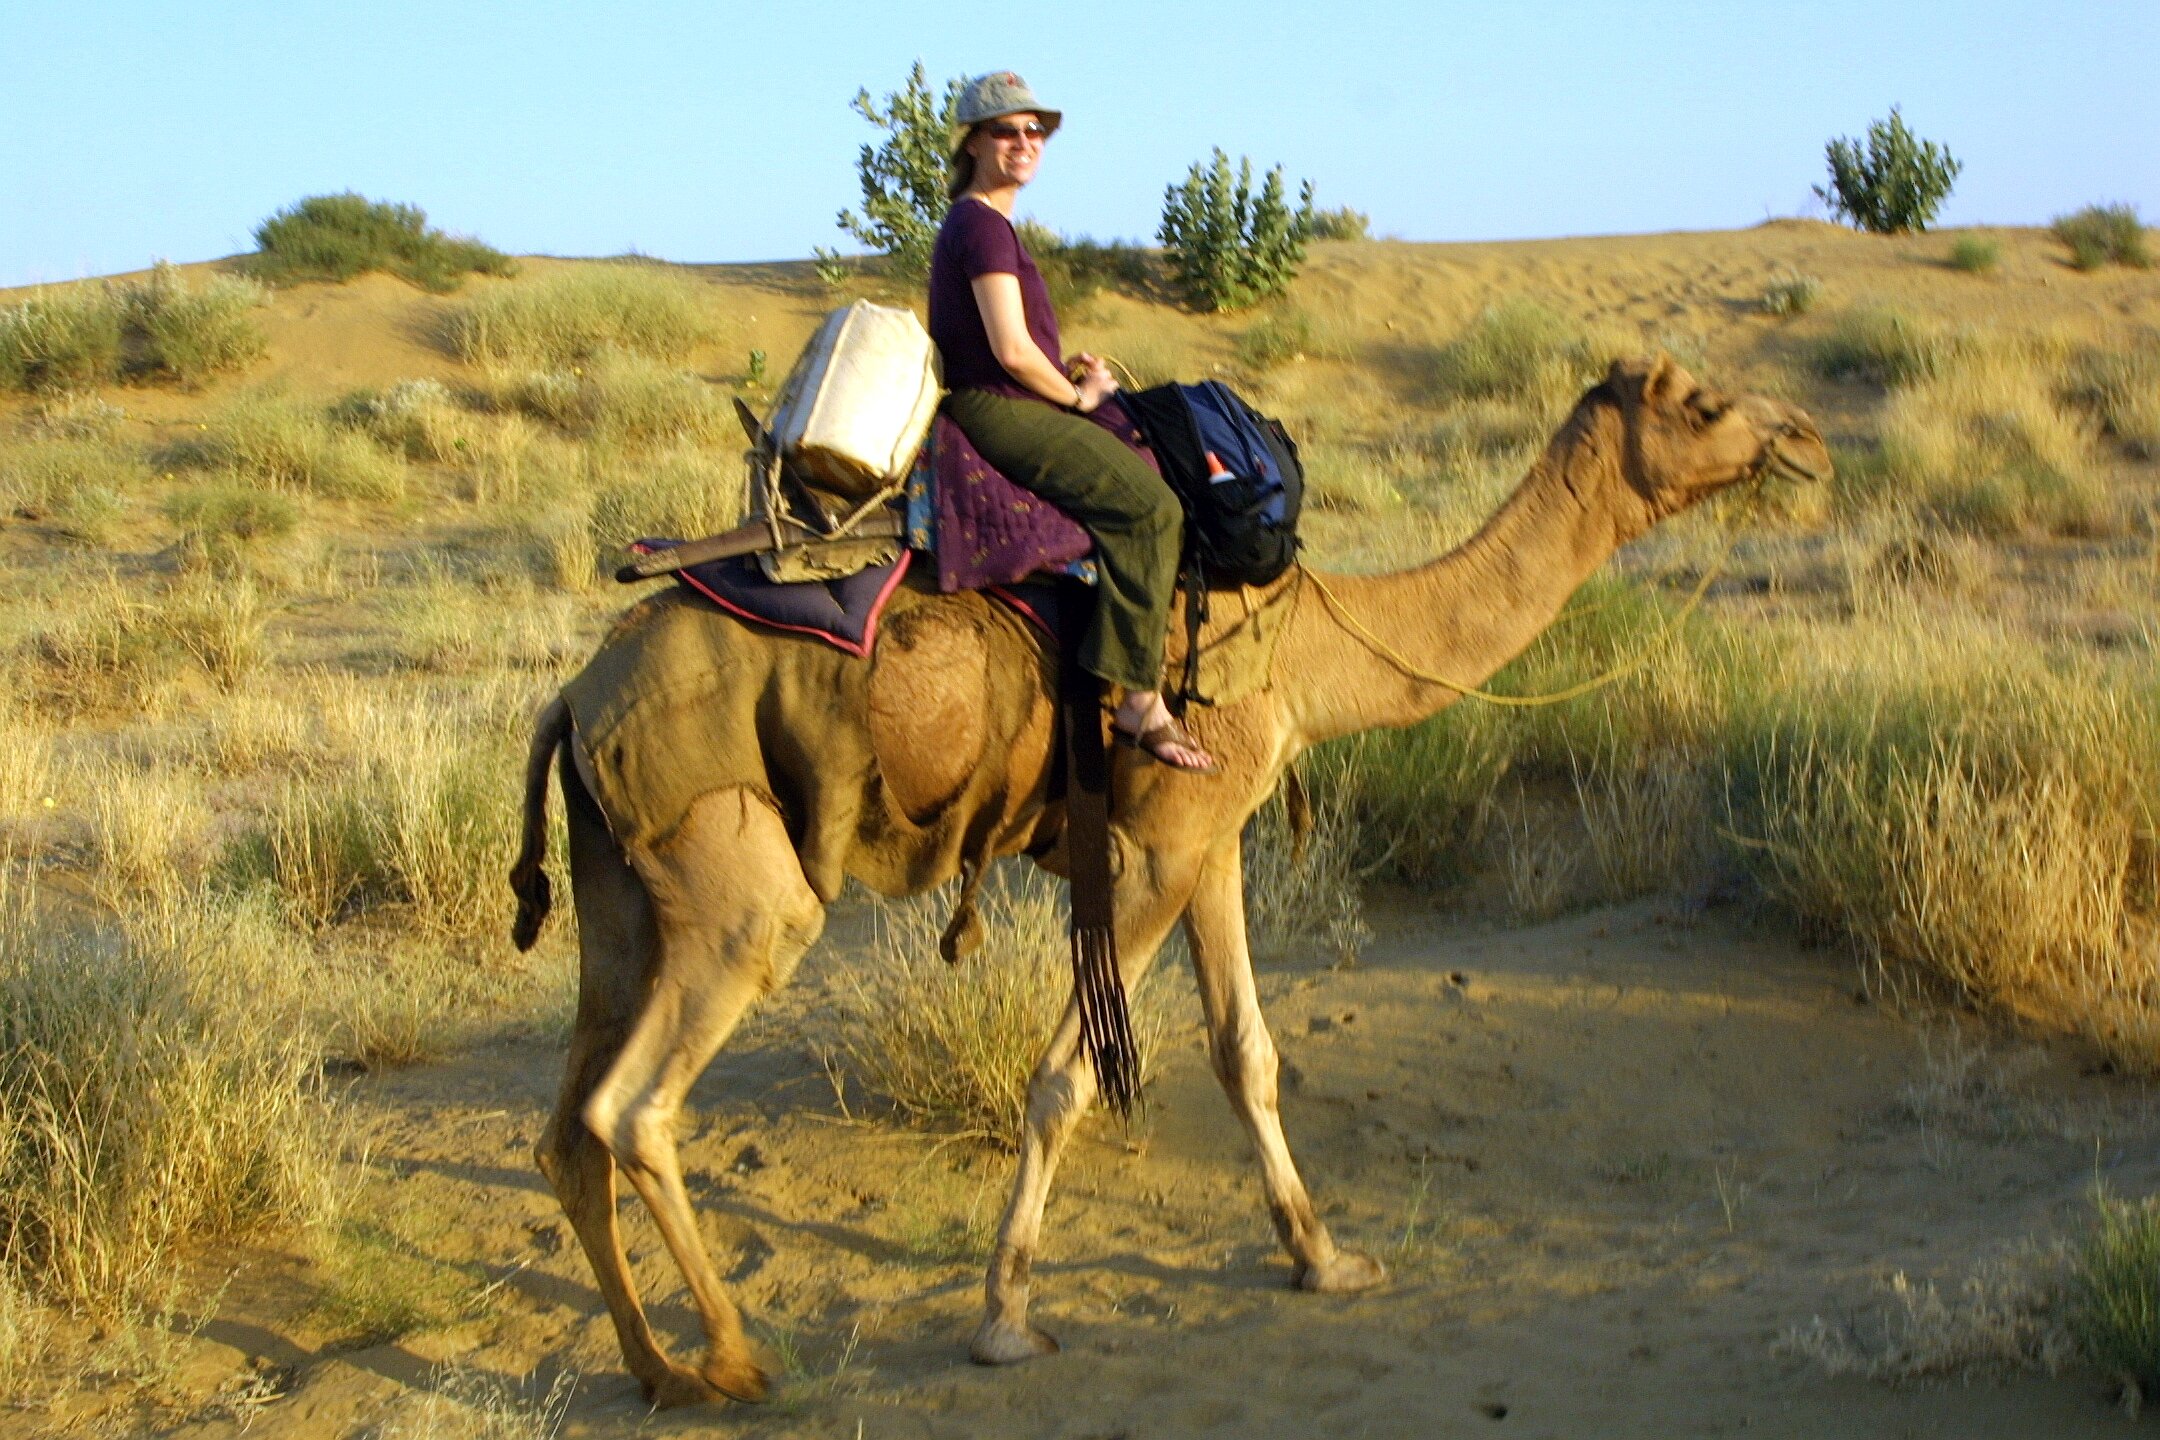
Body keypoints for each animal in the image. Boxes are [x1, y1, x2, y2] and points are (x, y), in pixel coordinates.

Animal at [514, 351, 1831, 1407]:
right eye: (1705, 403)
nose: (1806, 437)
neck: (1312, 648)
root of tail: (576, 694)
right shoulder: (1156, 843)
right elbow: (1065, 1080)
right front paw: (1004, 1321)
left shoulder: (1215, 837)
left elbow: (1248, 1050)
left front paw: (1326, 1259)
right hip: (738, 877)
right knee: (636, 1104)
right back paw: (738, 1361)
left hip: (620, 885)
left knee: (569, 1127)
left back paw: (656, 1370)